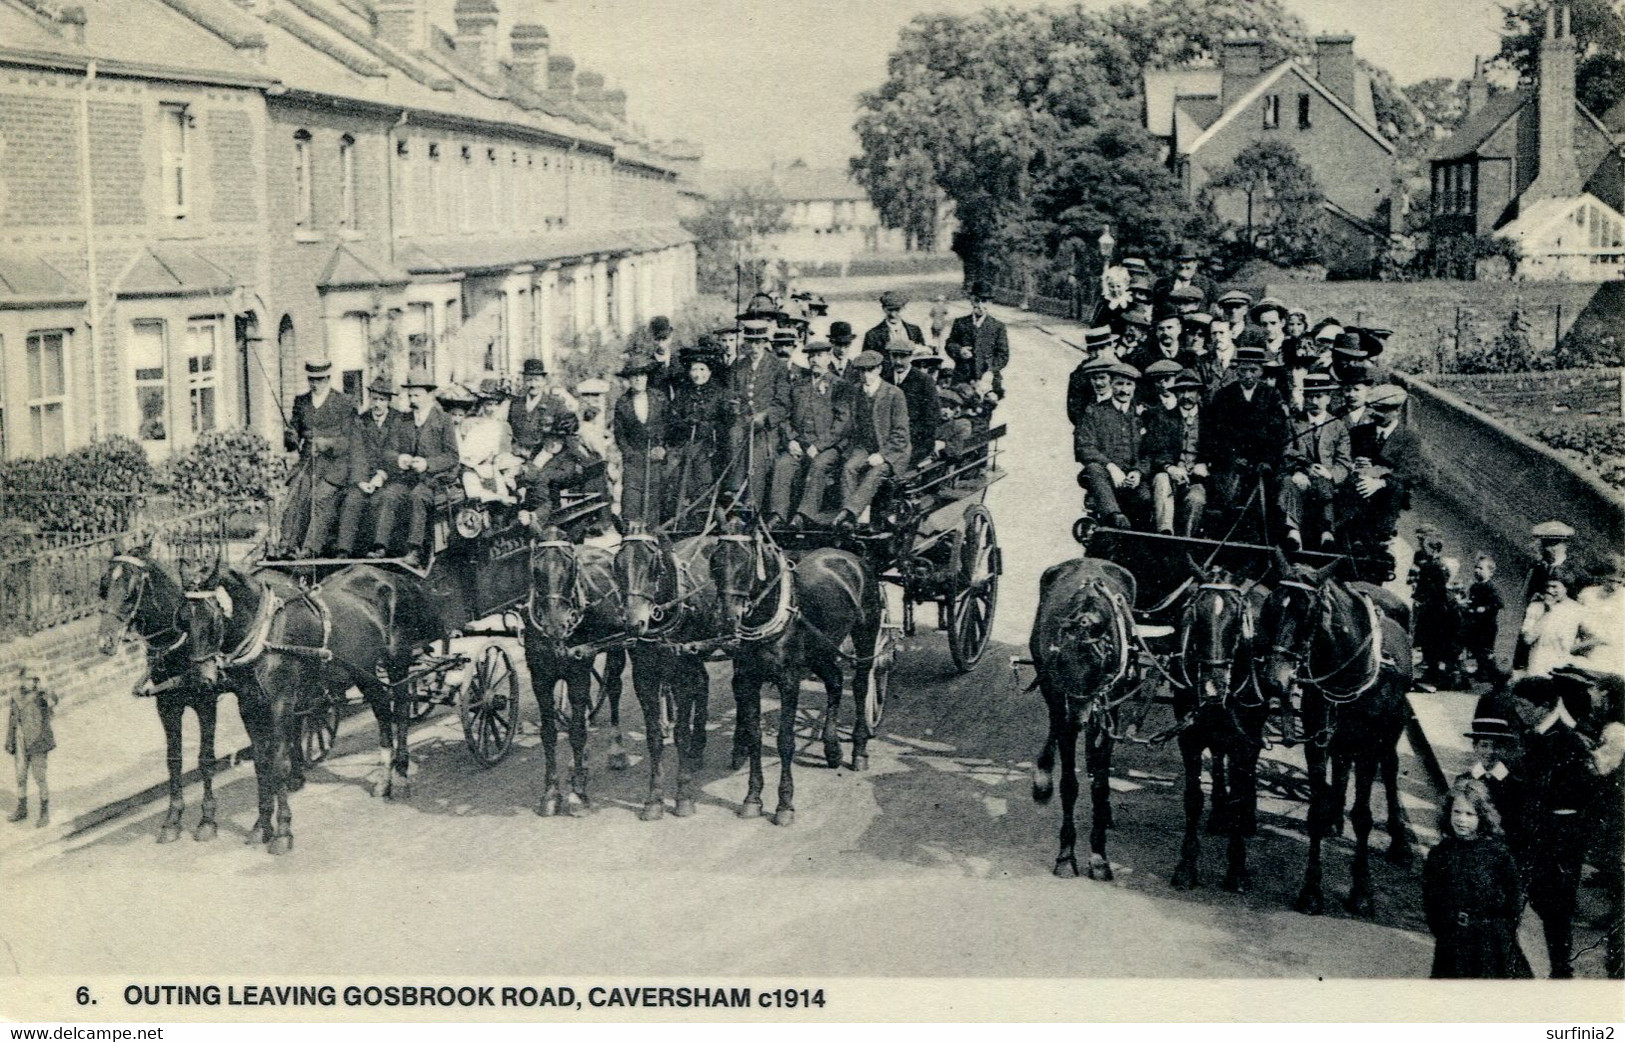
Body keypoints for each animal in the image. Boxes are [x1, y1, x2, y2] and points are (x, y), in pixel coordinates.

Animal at [95, 546, 222, 845]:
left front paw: (207, 820)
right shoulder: (167, 706)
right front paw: (172, 820)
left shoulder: (206, 702)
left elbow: (206, 759)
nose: (105, 642)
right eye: (104, 586)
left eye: (130, 590)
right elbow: (173, 759)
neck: (179, 642)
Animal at [1027, 555, 1144, 871]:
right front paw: (1066, 855)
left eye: (1099, 666)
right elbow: (1069, 784)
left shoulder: (1107, 707)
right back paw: (1042, 777)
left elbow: (1100, 784)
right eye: (1060, 664)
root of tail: (1090, 558)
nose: (1079, 719)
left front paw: (1099, 856)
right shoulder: (1059, 693)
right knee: (1055, 723)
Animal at [1176, 565, 1274, 890]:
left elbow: (1238, 797)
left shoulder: (1243, 740)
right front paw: (1186, 865)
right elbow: (1193, 799)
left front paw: (1237, 867)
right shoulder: (1189, 735)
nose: (1212, 688)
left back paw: (1247, 817)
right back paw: (1218, 812)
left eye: (1237, 621)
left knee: (1247, 769)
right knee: (1219, 757)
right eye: (1193, 616)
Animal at [1248, 555, 1417, 916]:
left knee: (1390, 768)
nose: (1272, 681)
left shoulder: (1368, 744)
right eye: (1270, 607)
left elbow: (1364, 817)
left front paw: (1361, 891)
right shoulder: (1316, 737)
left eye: (1308, 613)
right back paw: (1335, 816)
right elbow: (1315, 809)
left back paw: (1399, 842)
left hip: (1392, 725)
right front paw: (1311, 889)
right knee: (1341, 764)